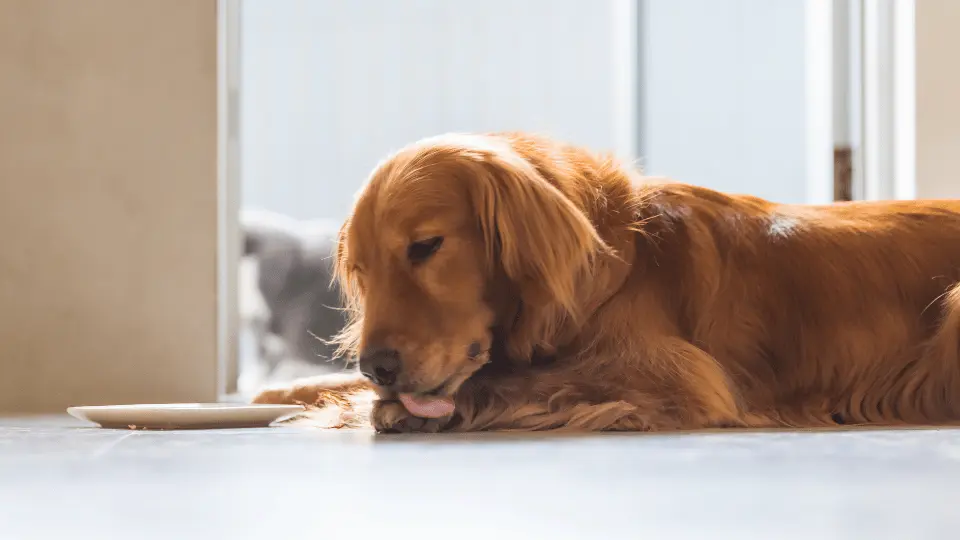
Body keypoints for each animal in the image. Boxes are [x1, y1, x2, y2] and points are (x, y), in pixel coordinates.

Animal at [253, 132, 960, 434]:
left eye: (425, 247)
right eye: (361, 270)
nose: (378, 366)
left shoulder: (679, 375)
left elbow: (530, 380)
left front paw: (395, 408)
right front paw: (286, 392)